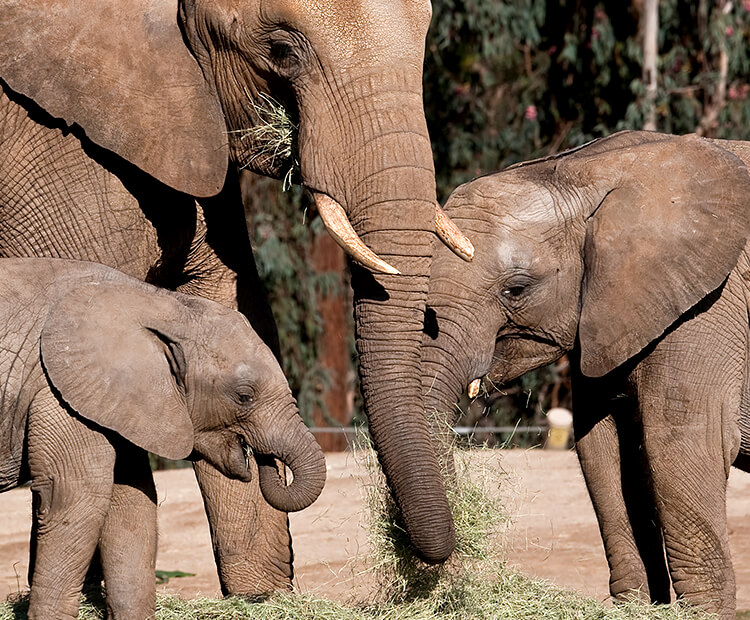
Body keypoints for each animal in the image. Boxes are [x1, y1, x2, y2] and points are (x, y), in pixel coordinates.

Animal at [0, 256, 326, 620]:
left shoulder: (119, 401)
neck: (159, 305)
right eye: (244, 396)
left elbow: (132, 501)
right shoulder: (58, 388)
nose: (261, 458)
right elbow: (74, 495)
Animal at [424, 130, 750, 616]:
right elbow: (603, 447)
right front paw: (635, 605)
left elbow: (685, 444)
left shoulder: (710, 306)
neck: (586, 170)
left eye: (516, 289)